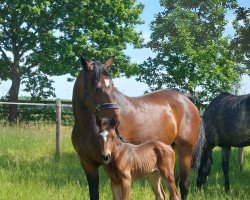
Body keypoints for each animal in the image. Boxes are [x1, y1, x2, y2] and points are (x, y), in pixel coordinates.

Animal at [71, 57, 200, 199]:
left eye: (112, 86)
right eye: (97, 88)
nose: (116, 118)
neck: (87, 127)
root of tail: (185, 98)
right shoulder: (88, 164)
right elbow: (94, 193)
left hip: (185, 150)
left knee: (184, 184)